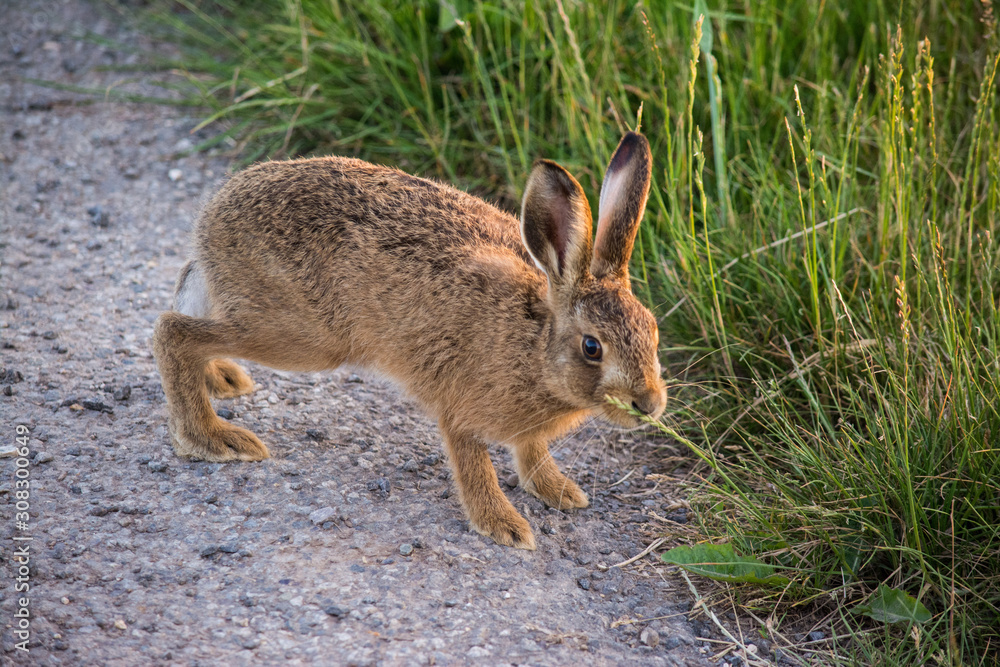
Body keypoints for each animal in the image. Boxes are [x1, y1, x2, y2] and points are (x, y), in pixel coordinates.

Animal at [152, 131, 667, 549]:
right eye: (592, 347)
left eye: (653, 330)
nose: (649, 404)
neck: (534, 343)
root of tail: (211, 217)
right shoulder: (459, 407)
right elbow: (474, 464)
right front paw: (503, 525)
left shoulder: (525, 428)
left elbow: (532, 452)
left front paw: (560, 492)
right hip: (305, 335)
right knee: (172, 331)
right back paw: (212, 438)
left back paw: (220, 378)